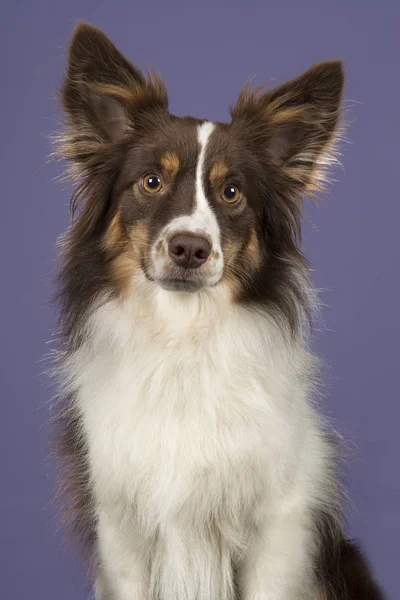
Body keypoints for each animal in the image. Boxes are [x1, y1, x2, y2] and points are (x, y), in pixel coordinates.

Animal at [52, 22, 384, 600]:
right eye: (152, 182)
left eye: (231, 193)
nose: (190, 248)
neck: (182, 338)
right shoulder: (121, 529)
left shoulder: (277, 524)